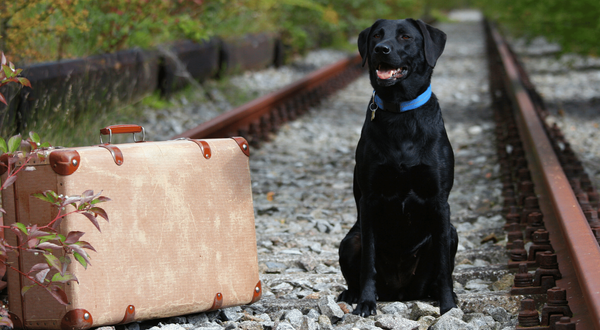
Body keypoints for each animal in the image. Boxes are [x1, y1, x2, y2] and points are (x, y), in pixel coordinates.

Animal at [338, 18, 460, 318]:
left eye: (405, 37)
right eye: (376, 36)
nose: (381, 49)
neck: (400, 111)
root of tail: (400, 293)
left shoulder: (440, 201)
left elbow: (444, 268)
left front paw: (448, 307)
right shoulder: (369, 200)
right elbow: (368, 262)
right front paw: (366, 303)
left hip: (450, 233)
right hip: (350, 240)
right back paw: (351, 294)